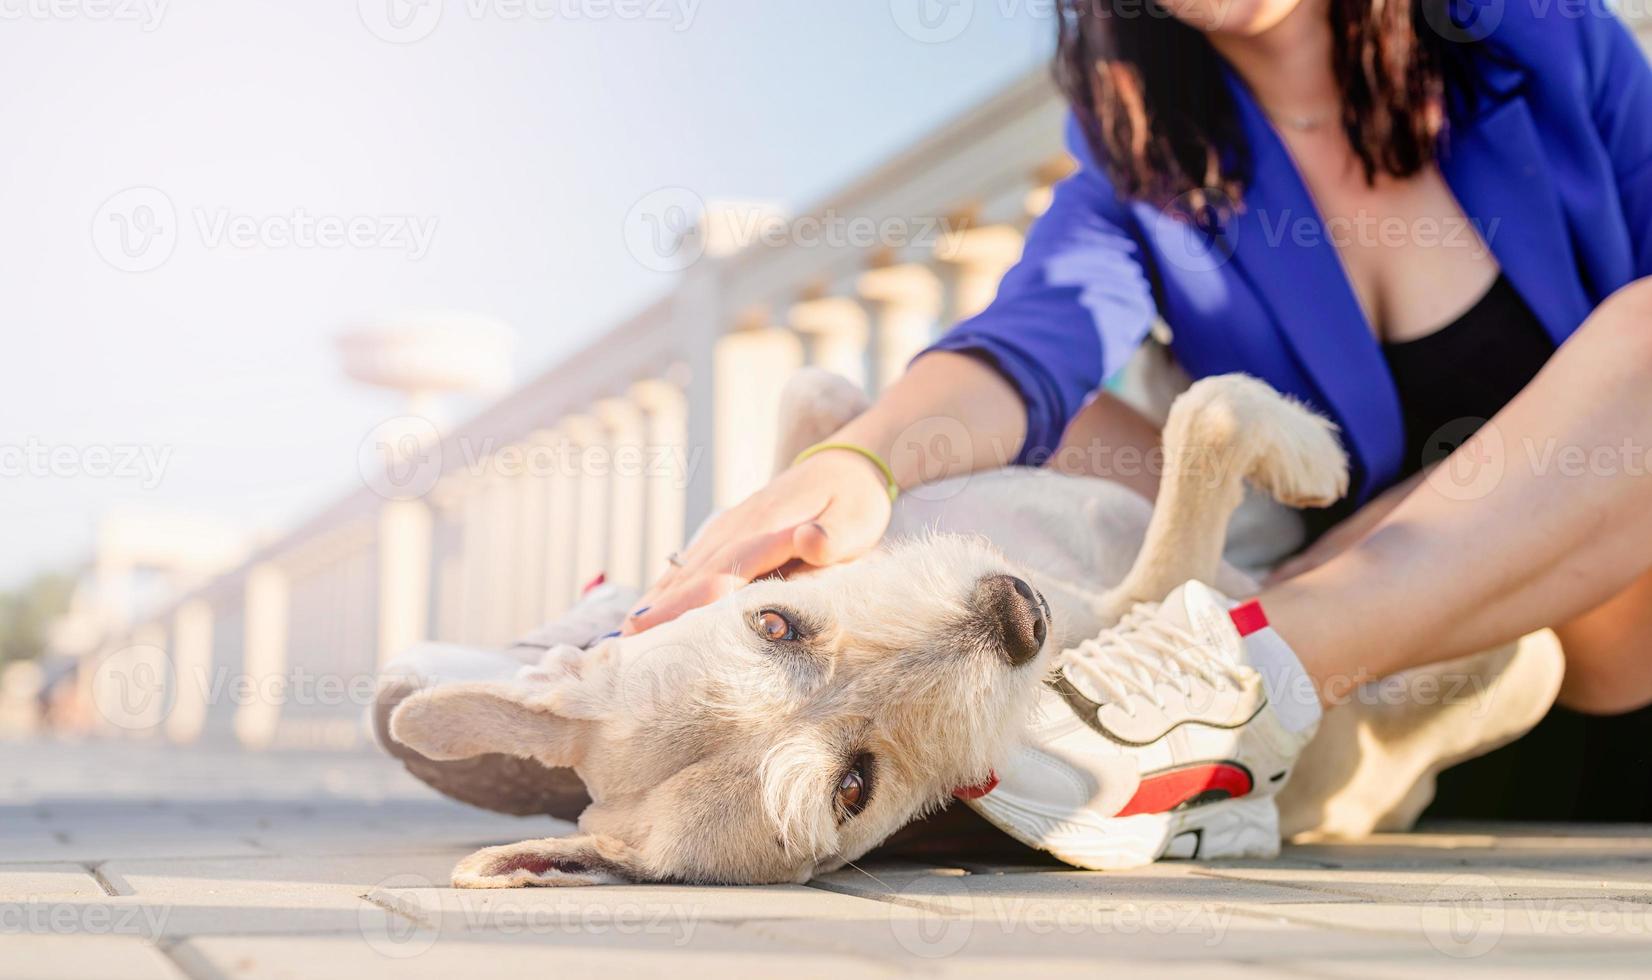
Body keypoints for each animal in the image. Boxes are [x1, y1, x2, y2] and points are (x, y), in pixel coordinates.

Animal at [383, 368, 1354, 885]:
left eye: (775, 623)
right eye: (854, 786)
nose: (1015, 614)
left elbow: (818, 405)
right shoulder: (1136, 593)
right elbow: (1208, 419)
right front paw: (1315, 455)